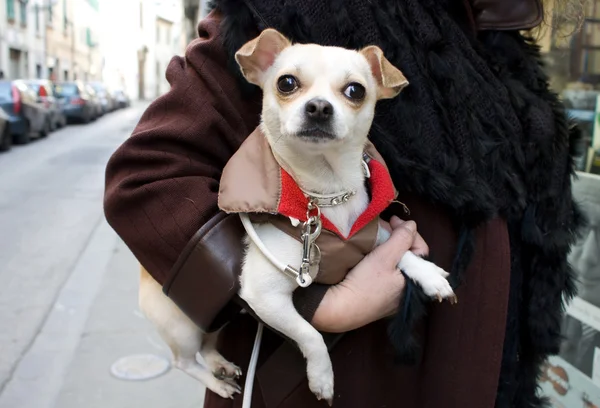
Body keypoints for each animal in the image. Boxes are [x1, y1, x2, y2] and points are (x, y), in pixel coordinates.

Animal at [139, 28, 454, 404]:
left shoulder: (373, 234)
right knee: (184, 360)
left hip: (218, 315)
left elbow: (399, 247)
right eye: (286, 83)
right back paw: (216, 381)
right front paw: (322, 377)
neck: (327, 193)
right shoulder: (266, 298)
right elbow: (309, 335)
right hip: (184, 323)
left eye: (355, 90)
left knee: (209, 344)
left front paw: (428, 274)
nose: (318, 106)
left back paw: (221, 366)